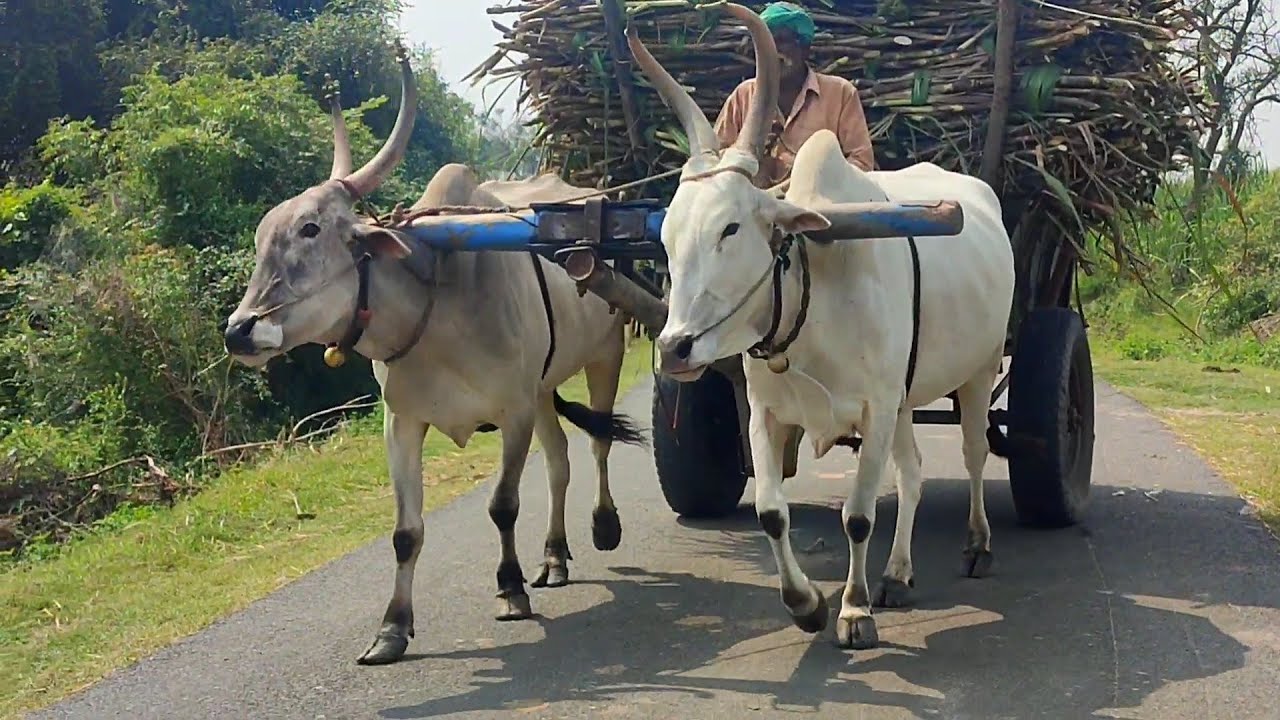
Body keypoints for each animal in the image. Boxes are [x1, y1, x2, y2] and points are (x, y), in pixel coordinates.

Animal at [221, 49, 648, 665]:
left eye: (310, 229)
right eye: (260, 239)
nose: (239, 331)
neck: (437, 303)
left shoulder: (513, 412)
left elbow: (502, 505)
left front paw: (510, 590)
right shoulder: (403, 422)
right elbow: (406, 532)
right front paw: (392, 628)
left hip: (605, 354)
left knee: (598, 443)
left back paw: (602, 526)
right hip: (544, 389)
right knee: (560, 461)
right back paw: (553, 556)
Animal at [626, 4, 1016, 650]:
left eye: (731, 228)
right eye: (666, 233)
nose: (676, 348)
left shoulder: (874, 408)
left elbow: (857, 516)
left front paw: (854, 611)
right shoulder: (769, 411)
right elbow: (770, 512)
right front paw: (806, 603)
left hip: (979, 371)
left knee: (974, 452)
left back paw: (979, 544)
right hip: (904, 398)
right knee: (913, 474)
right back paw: (898, 574)